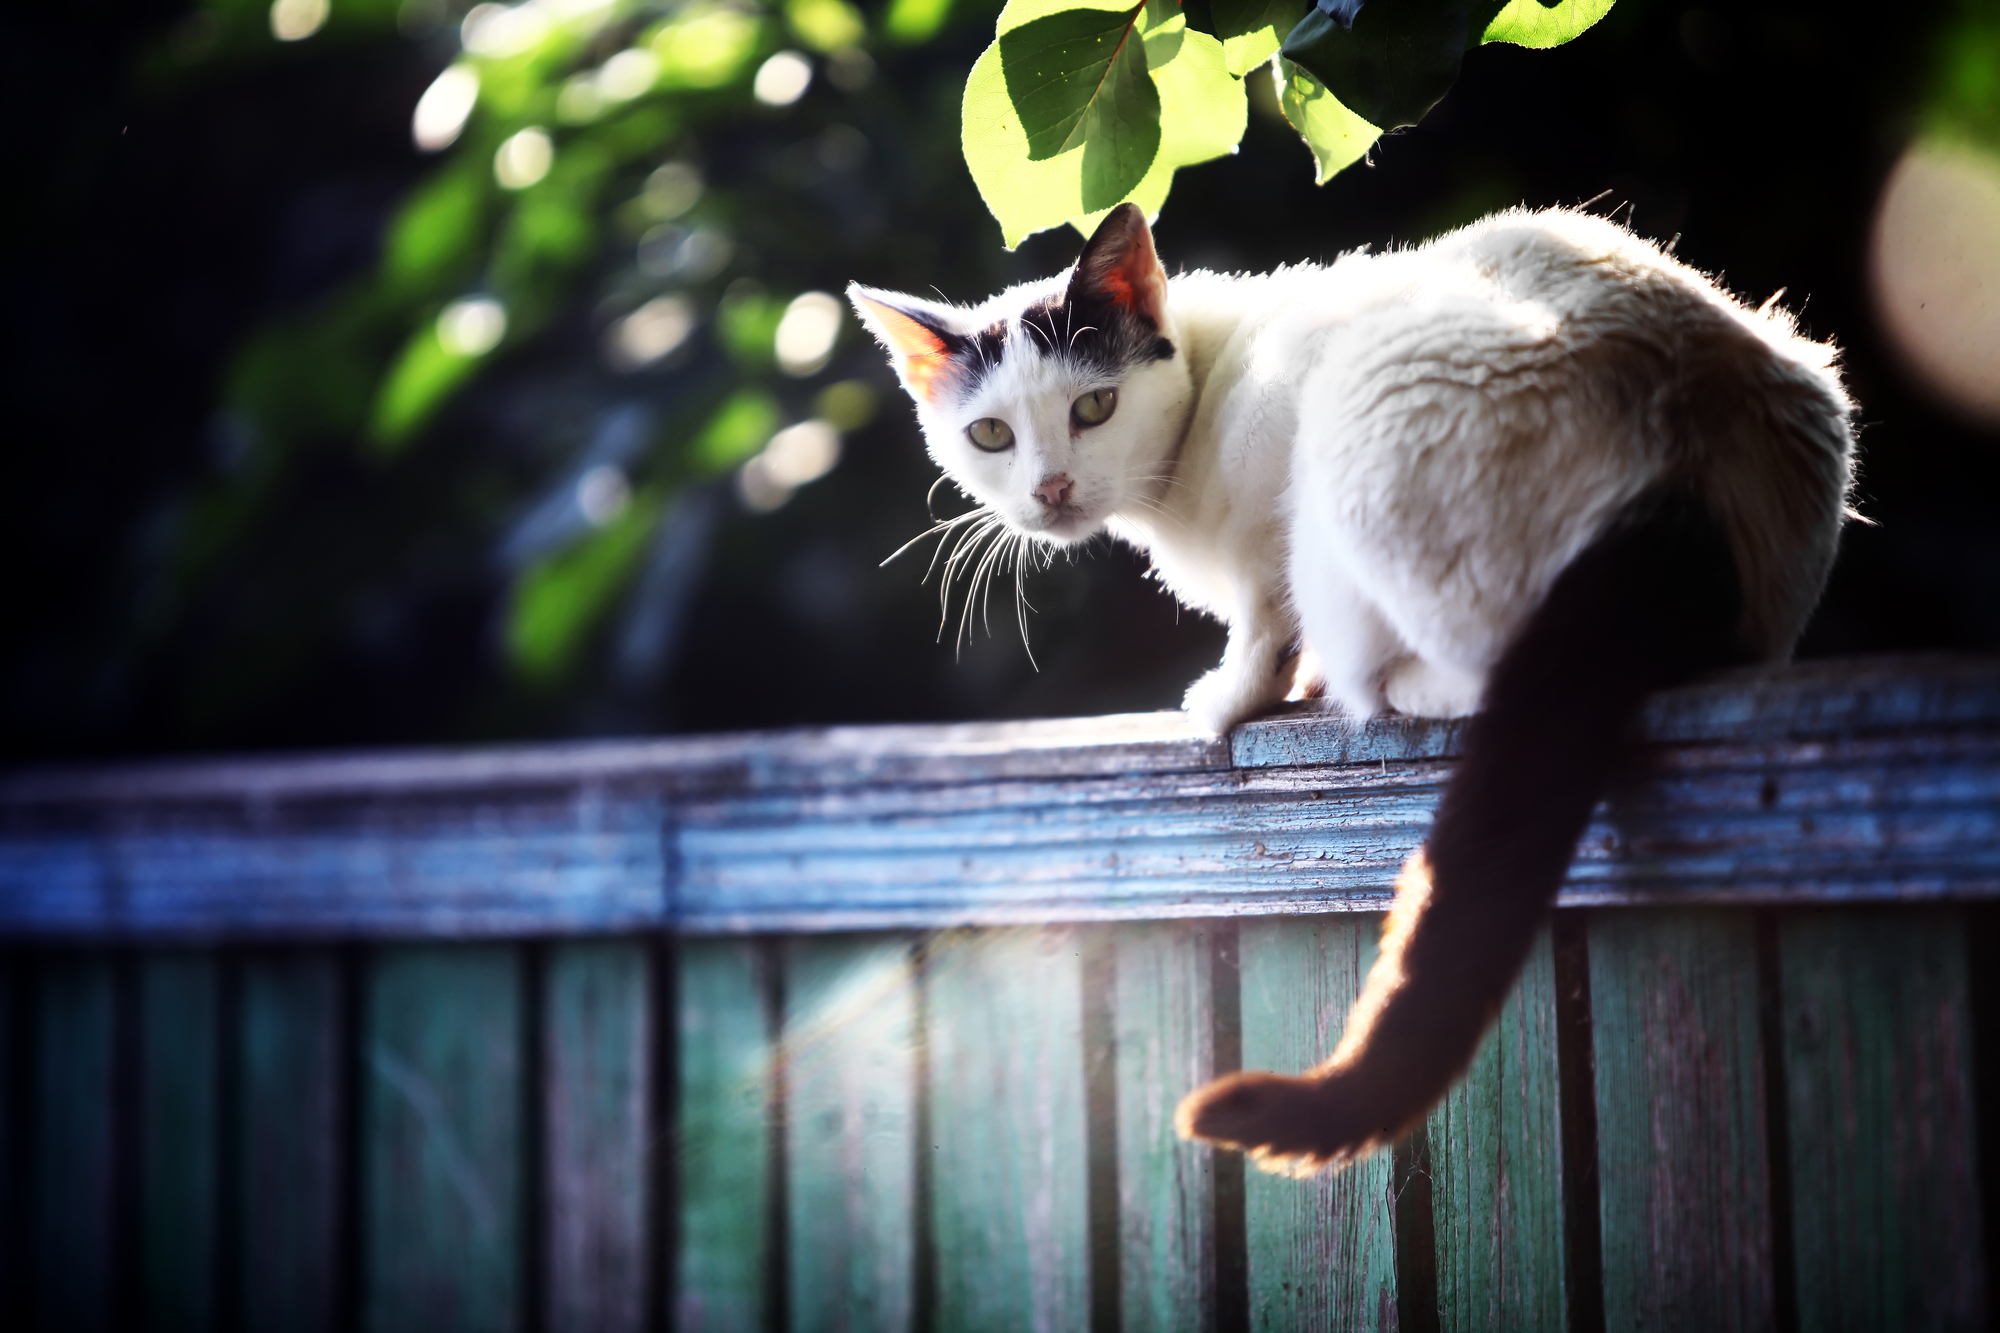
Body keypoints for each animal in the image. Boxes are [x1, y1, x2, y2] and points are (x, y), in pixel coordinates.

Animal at [848, 202, 1856, 1168]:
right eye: (991, 435)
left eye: (1094, 406)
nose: (1052, 488)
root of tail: (1680, 462)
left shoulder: (1270, 522)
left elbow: (1263, 619)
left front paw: (1233, 696)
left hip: (1359, 431)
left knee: (1472, 660)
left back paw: (1390, 684)